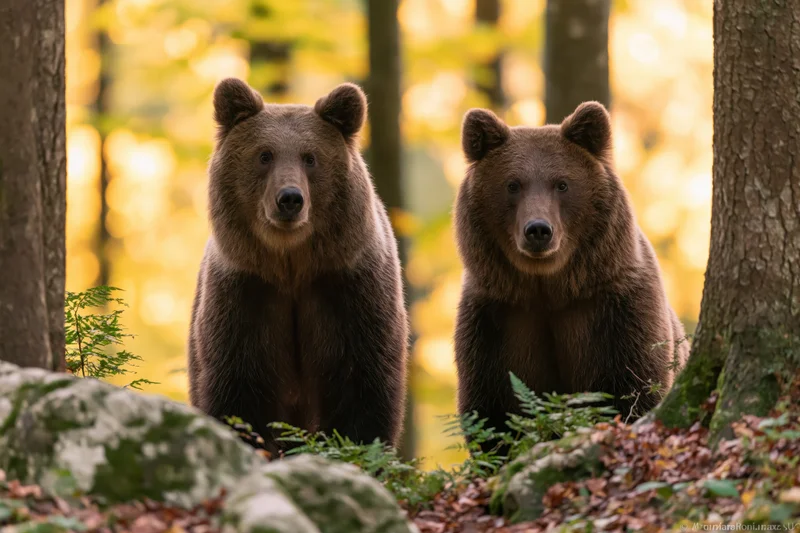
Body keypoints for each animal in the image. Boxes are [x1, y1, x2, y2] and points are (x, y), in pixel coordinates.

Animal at [188, 78, 409, 453]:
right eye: (264, 155)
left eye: (310, 157)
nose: (289, 198)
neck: (291, 263)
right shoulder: (245, 293)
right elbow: (237, 386)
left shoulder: (350, 291)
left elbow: (361, 384)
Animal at [453, 102, 688, 447]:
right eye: (513, 184)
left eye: (562, 184)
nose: (538, 230)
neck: (549, 286)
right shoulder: (495, 320)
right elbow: (491, 413)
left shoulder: (617, 311)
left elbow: (634, 388)